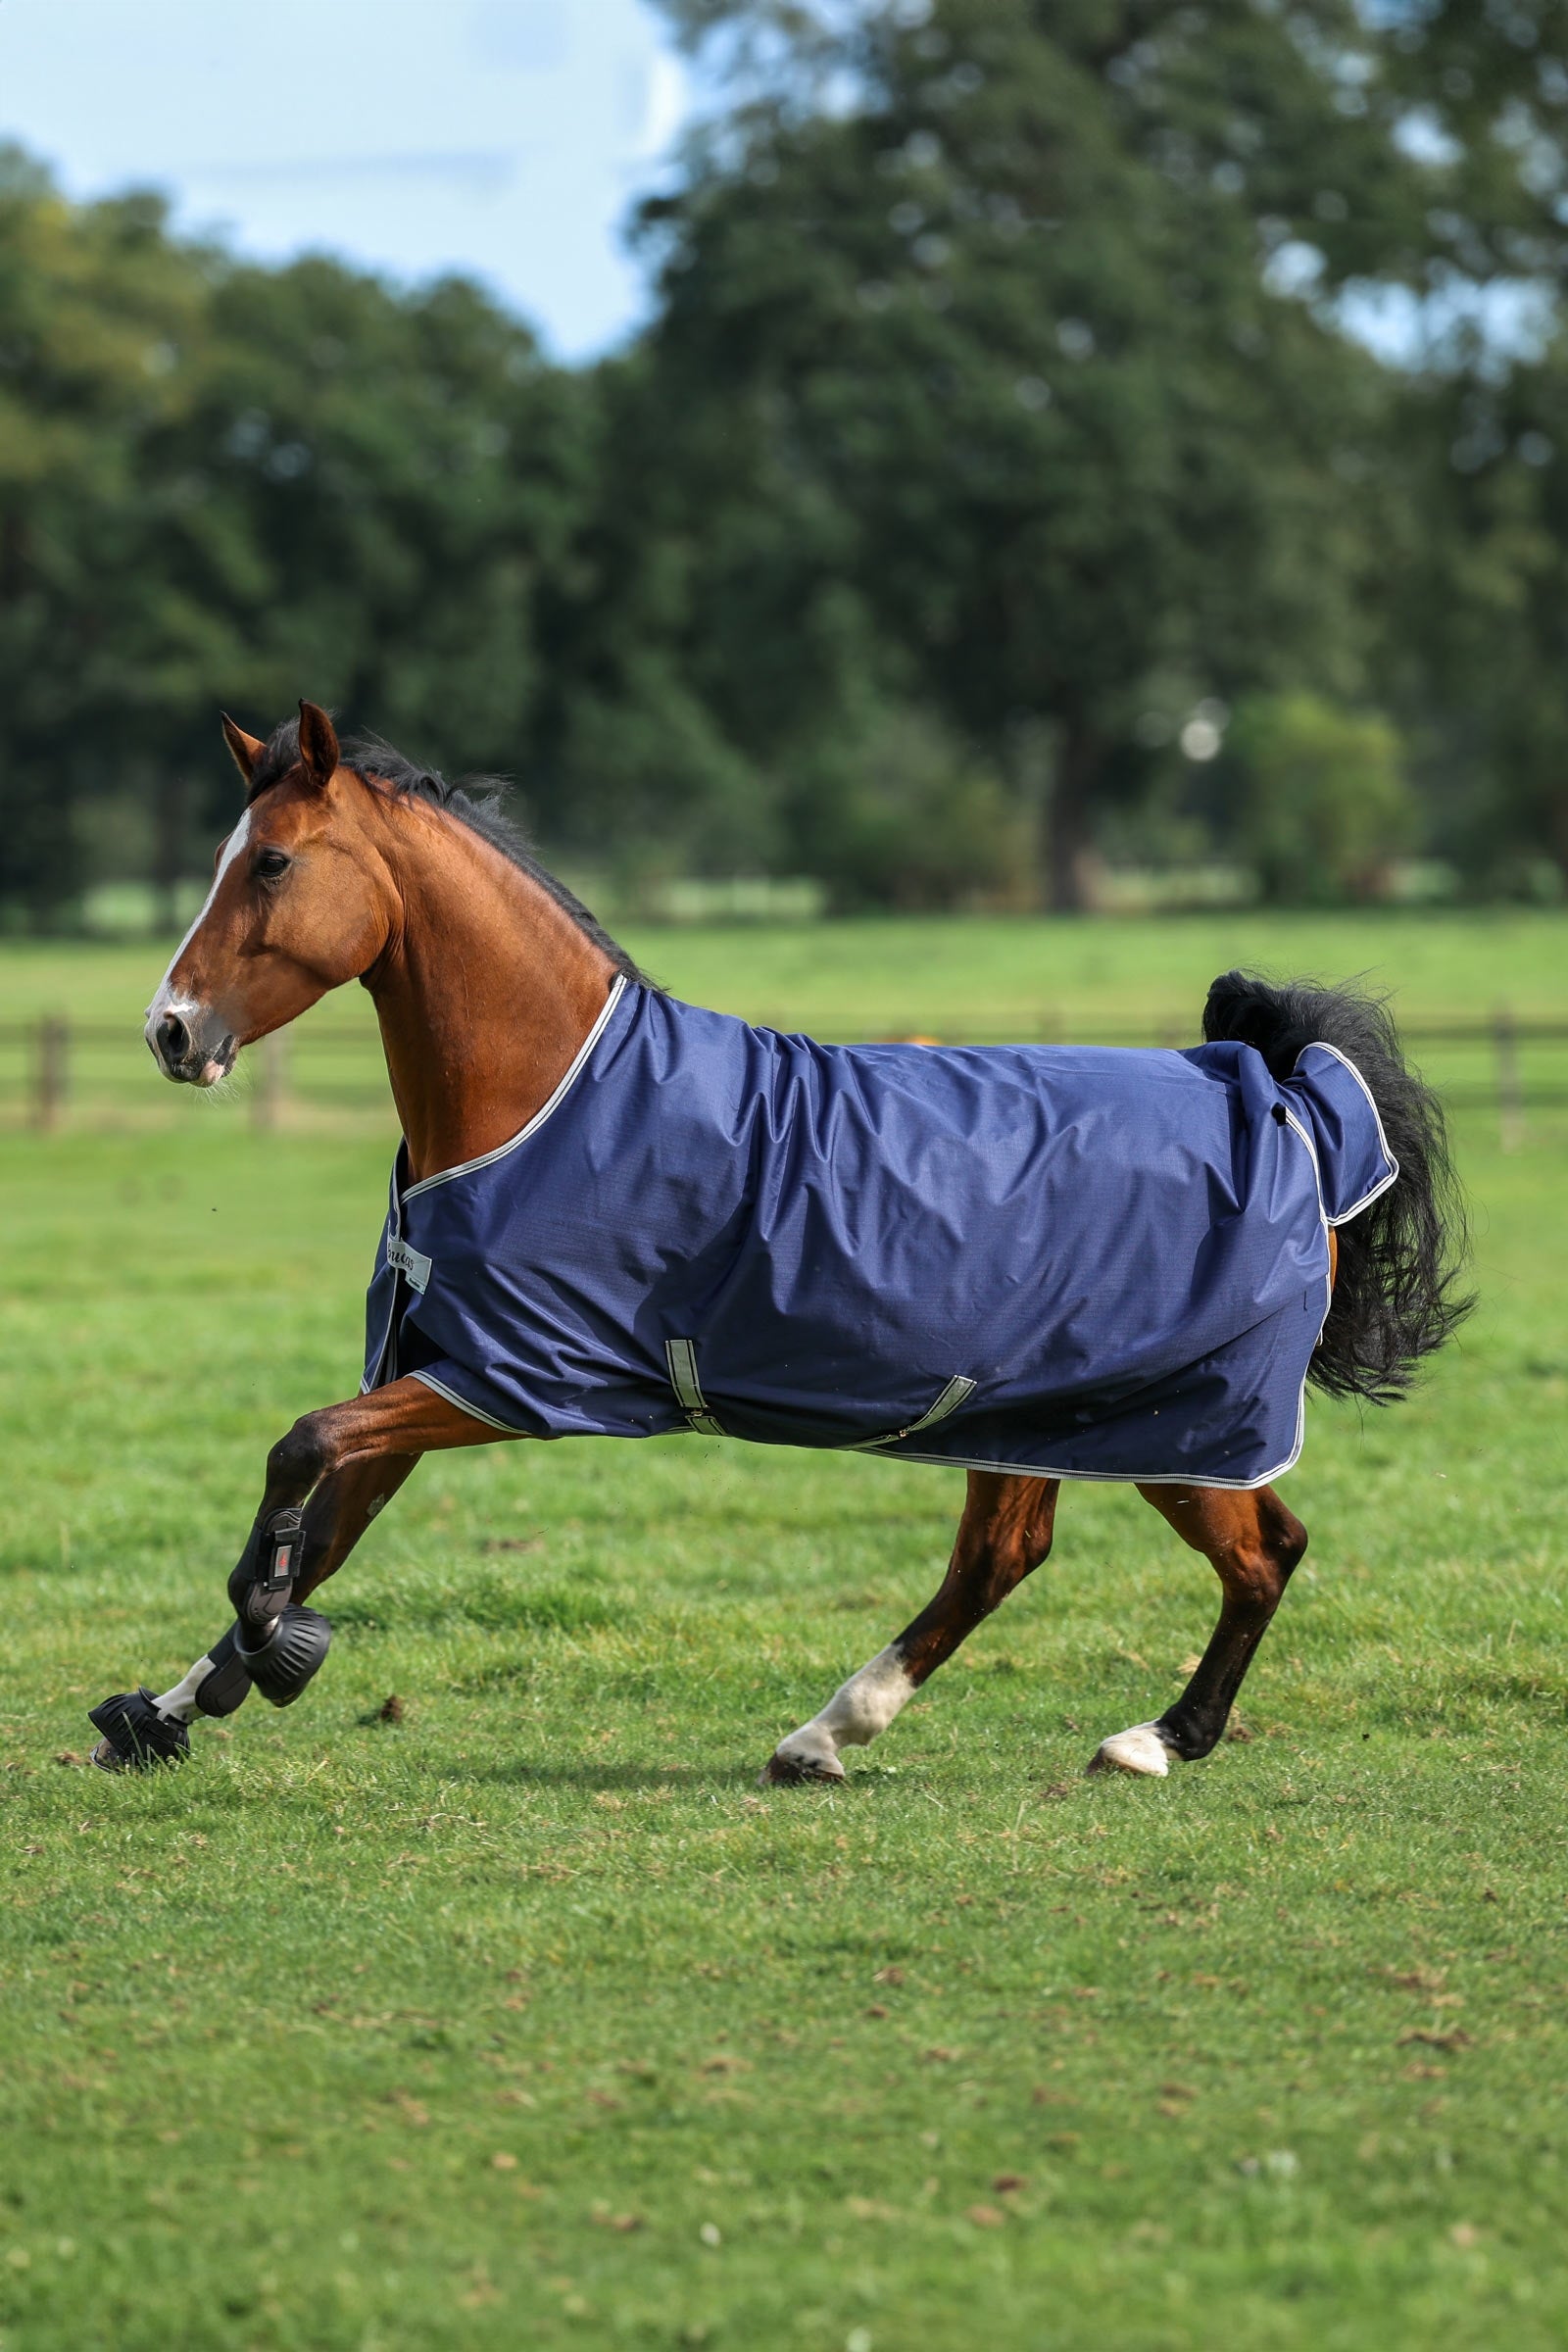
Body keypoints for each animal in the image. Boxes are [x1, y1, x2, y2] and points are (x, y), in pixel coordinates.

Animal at [88, 702, 1470, 1781]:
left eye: (271, 863)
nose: (170, 1030)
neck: (549, 1098)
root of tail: (1291, 1099)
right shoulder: (437, 1368)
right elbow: (325, 1516)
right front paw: (171, 1708)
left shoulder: (516, 1380)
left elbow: (300, 1456)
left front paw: (266, 1646)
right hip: (1040, 1414)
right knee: (1010, 1556)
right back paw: (831, 1735)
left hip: (1177, 1423)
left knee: (1255, 1553)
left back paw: (1149, 1740)